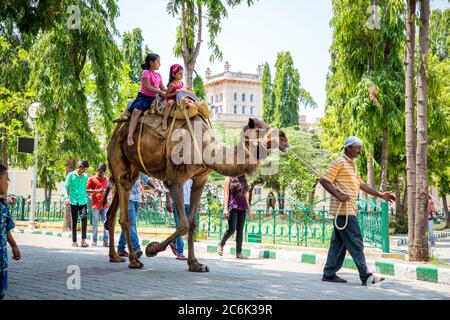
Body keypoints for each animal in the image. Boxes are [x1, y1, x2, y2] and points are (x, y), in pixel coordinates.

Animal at [104, 106, 290, 272]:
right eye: (261, 128)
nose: (284, 137)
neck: (205, 145)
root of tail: (116, 131)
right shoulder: (174, 180)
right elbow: (183, 225)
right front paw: (152, 249)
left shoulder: (200, 180)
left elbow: (192, 223)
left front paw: (195, 264)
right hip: (117, 155)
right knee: (124, 208)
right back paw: (134, 260)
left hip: (133, 167)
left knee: (113, 210)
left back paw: (115, 256)